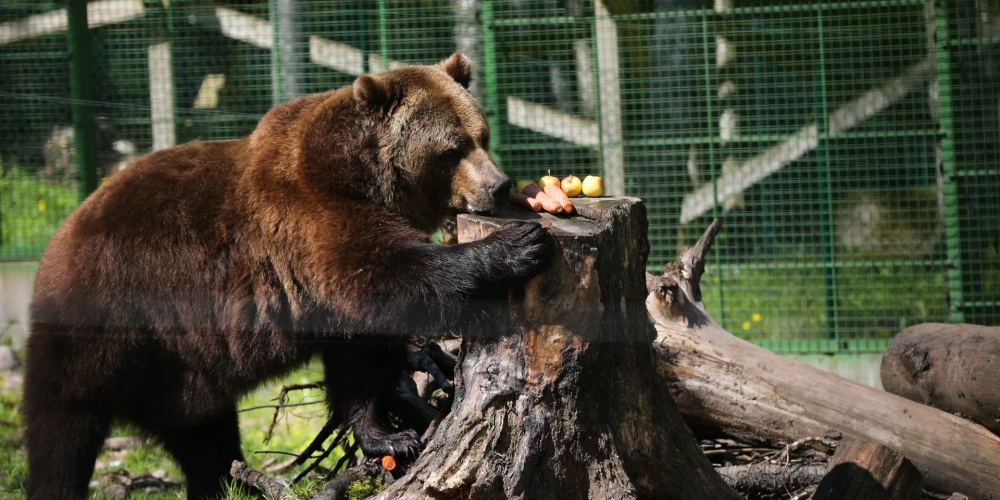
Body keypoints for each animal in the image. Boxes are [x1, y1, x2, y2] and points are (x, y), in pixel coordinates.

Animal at [23, 54, 552, 500]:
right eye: (451, 149)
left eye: (482, 135)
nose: (499, 185)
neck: (369, 180)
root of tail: (60, 236)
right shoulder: (311, 218)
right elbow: (391, 274)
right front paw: (520, 243)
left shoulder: (330, 291)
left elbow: (360, 359)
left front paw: (388, 432)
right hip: (107, 318)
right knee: (62, 426)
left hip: (179, 367)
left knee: (203, 434)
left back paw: (228, 483)